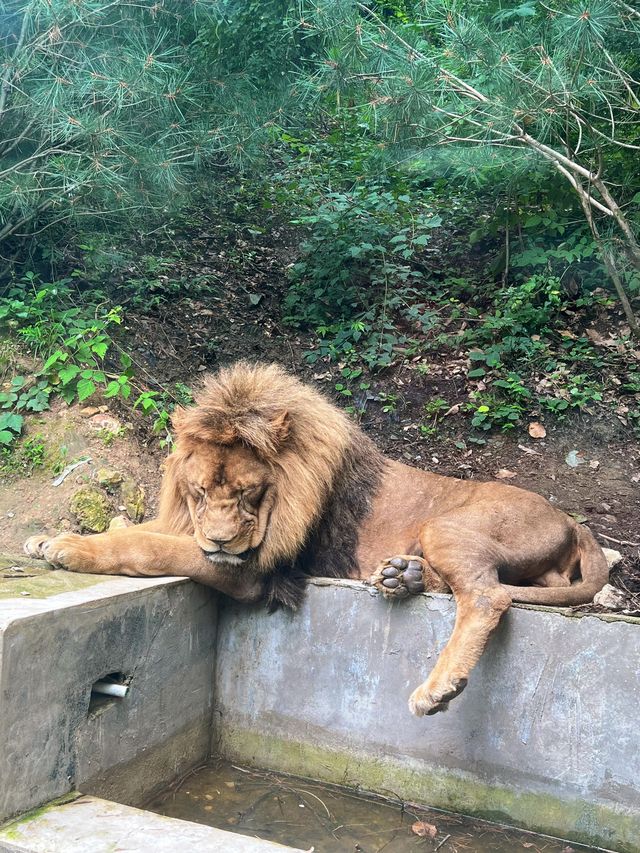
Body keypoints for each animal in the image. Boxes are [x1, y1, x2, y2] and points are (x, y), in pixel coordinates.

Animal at [25, 362, 608, 716]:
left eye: (247, 492)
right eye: (199, 490)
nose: (218, 540)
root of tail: (572, 520)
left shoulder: (252, 569)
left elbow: (146, 546)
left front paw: (69, 550)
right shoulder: (189, 525)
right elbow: (139, 529)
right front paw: (44, 540)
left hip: (445, 523)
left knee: (488, 595)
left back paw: (437, 686)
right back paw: (401, 575)